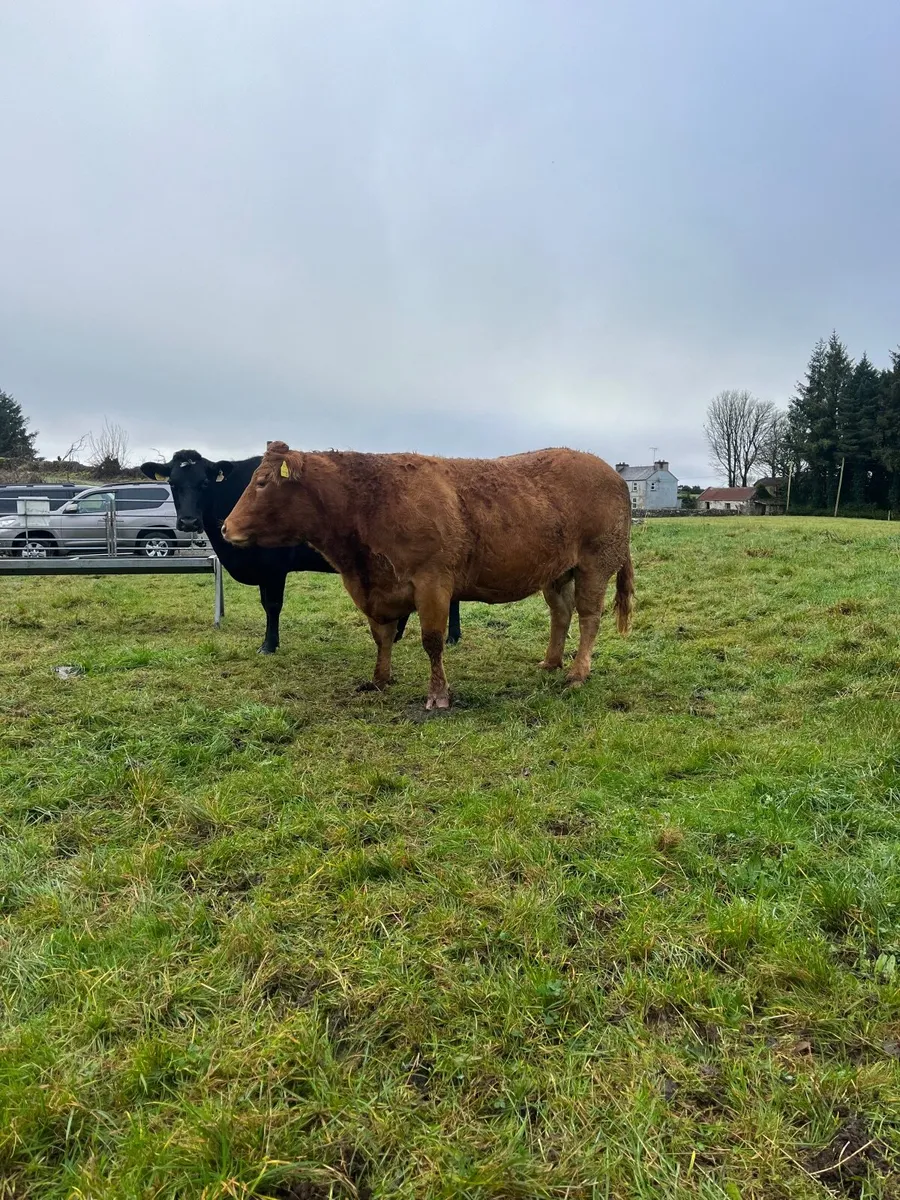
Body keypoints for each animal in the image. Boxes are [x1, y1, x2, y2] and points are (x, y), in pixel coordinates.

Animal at [140, 451, 463, 654]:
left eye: (205, 482)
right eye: (172, 483)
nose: (188, 522)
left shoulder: (274, 566)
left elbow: (272, 605)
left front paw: (269, 645)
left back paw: (448, 637)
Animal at [221, 442, 634, 709]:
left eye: (262, 482)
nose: (226, 528)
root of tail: (608, 470)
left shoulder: (433, 582)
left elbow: (432, 641)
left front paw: (438, 695)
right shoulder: (377, 588)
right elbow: (382, 637)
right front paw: (380, 679)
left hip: (595, 564)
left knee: (589, 616)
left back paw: (577, 673)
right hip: (556, 572)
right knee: (560, 613)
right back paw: (550, 662)